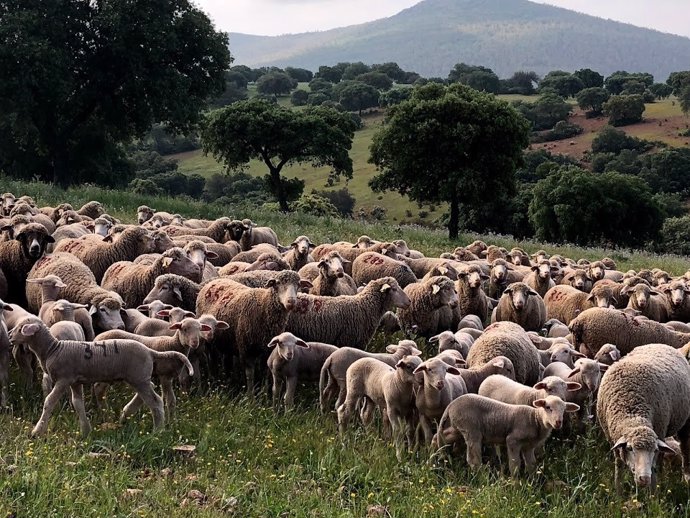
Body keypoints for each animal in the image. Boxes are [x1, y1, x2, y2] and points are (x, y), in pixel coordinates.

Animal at [9, 314, 191, 436]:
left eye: (21, 328)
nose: (10, 336)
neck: (53, 349)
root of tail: (150, 351)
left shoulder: (63, 379)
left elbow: (49, 402)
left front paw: (37, 431)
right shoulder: (75, 381)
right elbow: (77, 404)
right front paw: (85, 430)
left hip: (138, 378)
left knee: (155, 401)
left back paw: (157, 431)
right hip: (138, 378)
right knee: (149, 392)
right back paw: (126, 413)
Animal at [436, 396, 576, 478]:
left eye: (564, 410)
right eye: (548, 407)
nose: (558, 422)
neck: (535, 419)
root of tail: (451, 405)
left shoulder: (529, 446)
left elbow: (531, 464)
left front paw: (532, 481)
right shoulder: (513, 440)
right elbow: (515, 463)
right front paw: (516, 484)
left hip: (458, 427)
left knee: (440, 437)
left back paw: (433, 456)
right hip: (470, 429)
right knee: (473, 459)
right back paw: (480, 477)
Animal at [592, 346, 688, 492]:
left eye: (654, 450)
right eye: (630, 448)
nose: (644, 479)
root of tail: (659, 344)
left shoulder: (659, 432)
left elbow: (654, 467)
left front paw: (653, 494)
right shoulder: (613, 438)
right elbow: (619, 464)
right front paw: (618, 492)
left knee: (685, 448)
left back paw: (685, 478)